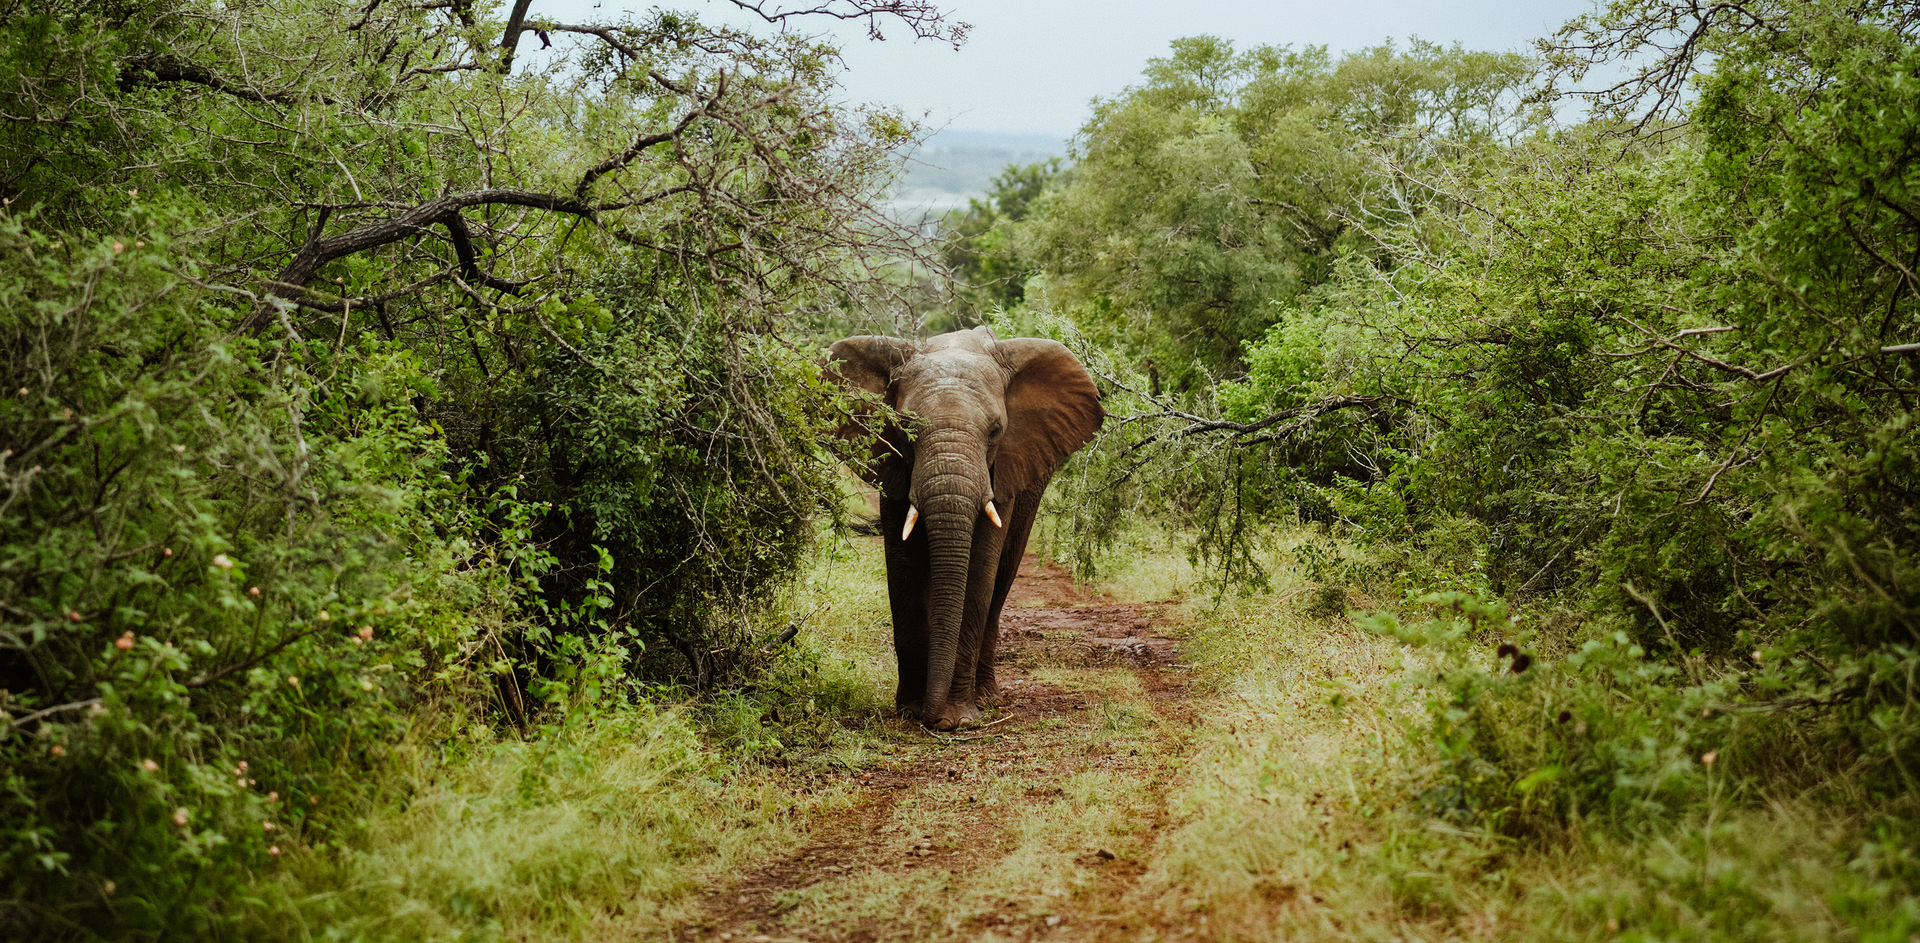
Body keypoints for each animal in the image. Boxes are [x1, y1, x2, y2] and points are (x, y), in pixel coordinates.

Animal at [825, 327, 1104, 730]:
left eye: (996, 430)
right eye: (905, 429)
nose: (932, 717)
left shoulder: (1002, 473)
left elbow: (979, 570)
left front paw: (956, 718)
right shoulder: (892, 468)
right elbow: (903, 567)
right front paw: (911, 710)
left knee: (1001, 579)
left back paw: (988, 698)